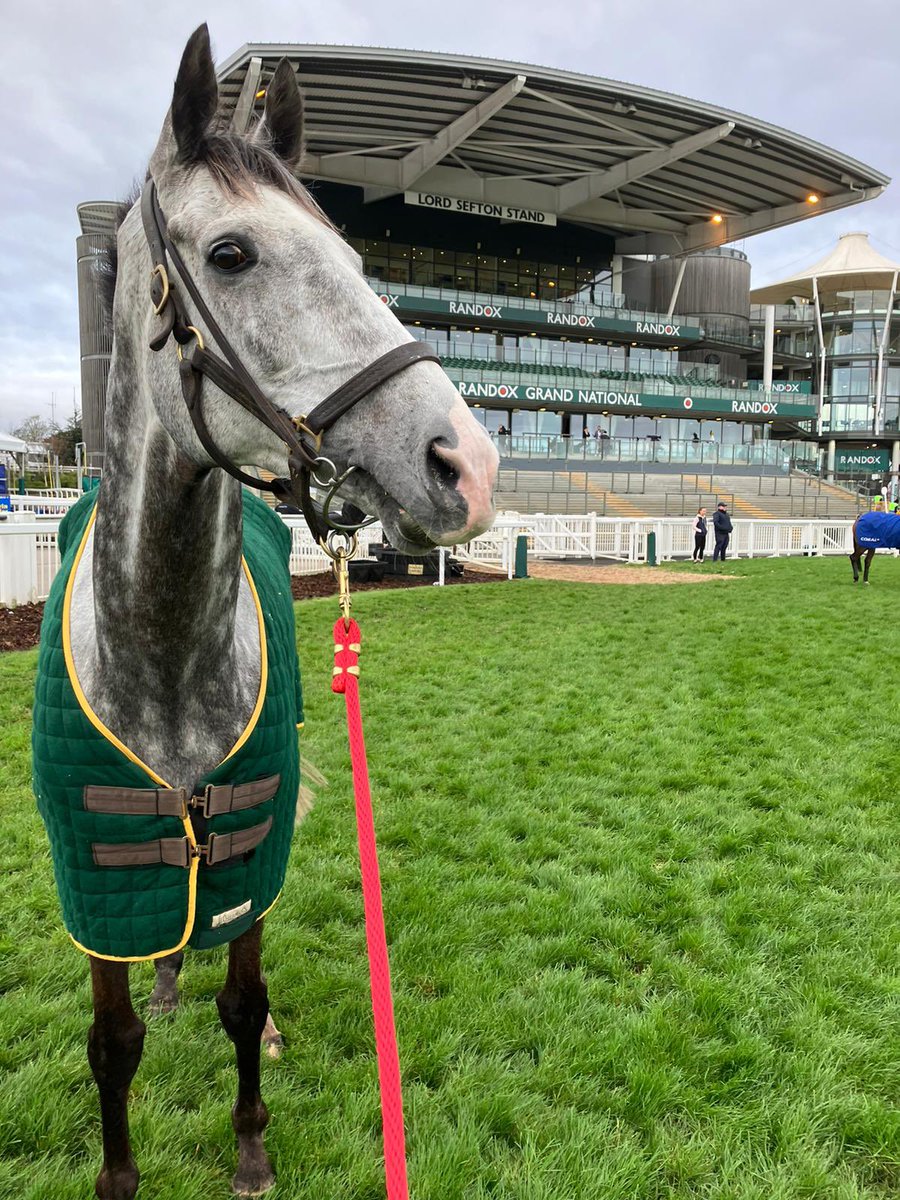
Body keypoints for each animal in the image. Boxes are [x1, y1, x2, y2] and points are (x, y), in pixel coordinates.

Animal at [69, 28, 496, 1200]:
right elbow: (111, 1044)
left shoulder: (252, 832)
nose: (468, 464)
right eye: (230, 255)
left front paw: (253, 1147)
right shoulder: (95, 870)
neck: (163, 654)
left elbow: (244, 992)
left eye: (354, 258)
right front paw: (119, 1170)